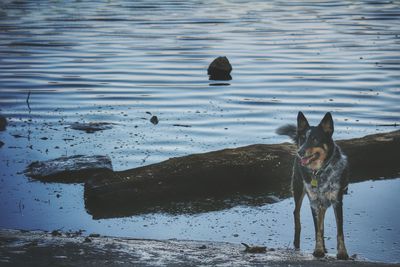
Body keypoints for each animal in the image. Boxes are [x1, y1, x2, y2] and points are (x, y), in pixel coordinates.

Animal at [276, 112, 348, 260]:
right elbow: (317, 230)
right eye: (303, 139)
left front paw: (342, 253)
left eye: (315, 139)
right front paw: (318, 250)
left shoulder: (337, 200)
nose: (300, 152)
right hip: (298, 188)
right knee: (296, 212)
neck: (320, 172)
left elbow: (339, 230)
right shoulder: (314, 202)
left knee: (322, 219)